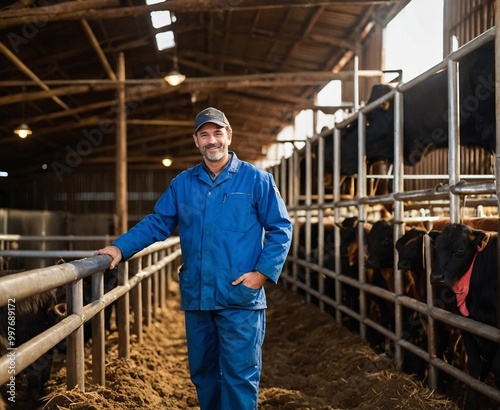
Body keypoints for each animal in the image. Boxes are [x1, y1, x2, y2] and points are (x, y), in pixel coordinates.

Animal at [430, 224, 500, 410]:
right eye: (436, 248)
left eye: (460, 249)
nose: (436, 278)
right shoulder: (466, 325)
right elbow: (474, 365)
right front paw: (471, 403)